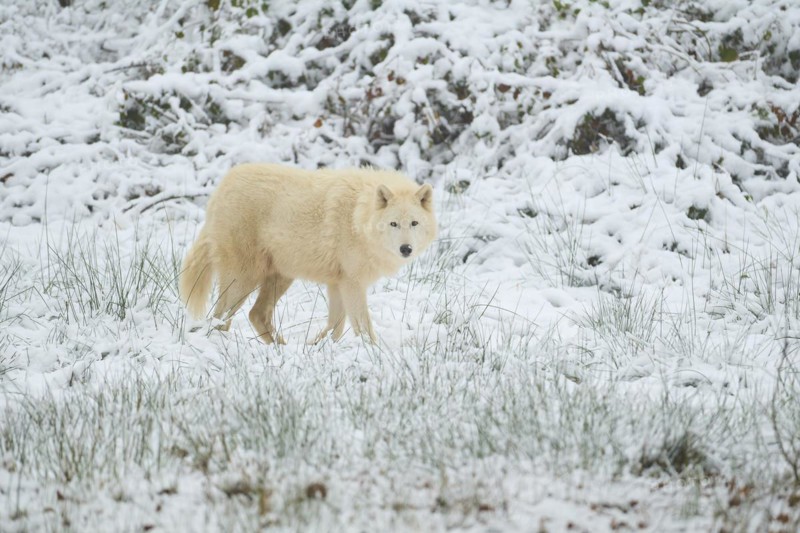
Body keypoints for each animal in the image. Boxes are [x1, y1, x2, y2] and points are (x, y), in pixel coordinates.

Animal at [179, 163, 437, 344]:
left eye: (414, 223)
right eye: (393, 224)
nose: (406, 249)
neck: (358, 216)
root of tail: (221, 187)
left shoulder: (337, 284)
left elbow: (336, 326)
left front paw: (318, 347)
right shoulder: (352, 284)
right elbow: (362, 326)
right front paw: (374, 353)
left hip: (280, 278)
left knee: (256, 314)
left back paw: (280, 348)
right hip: (244, 280)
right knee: (219, 317)